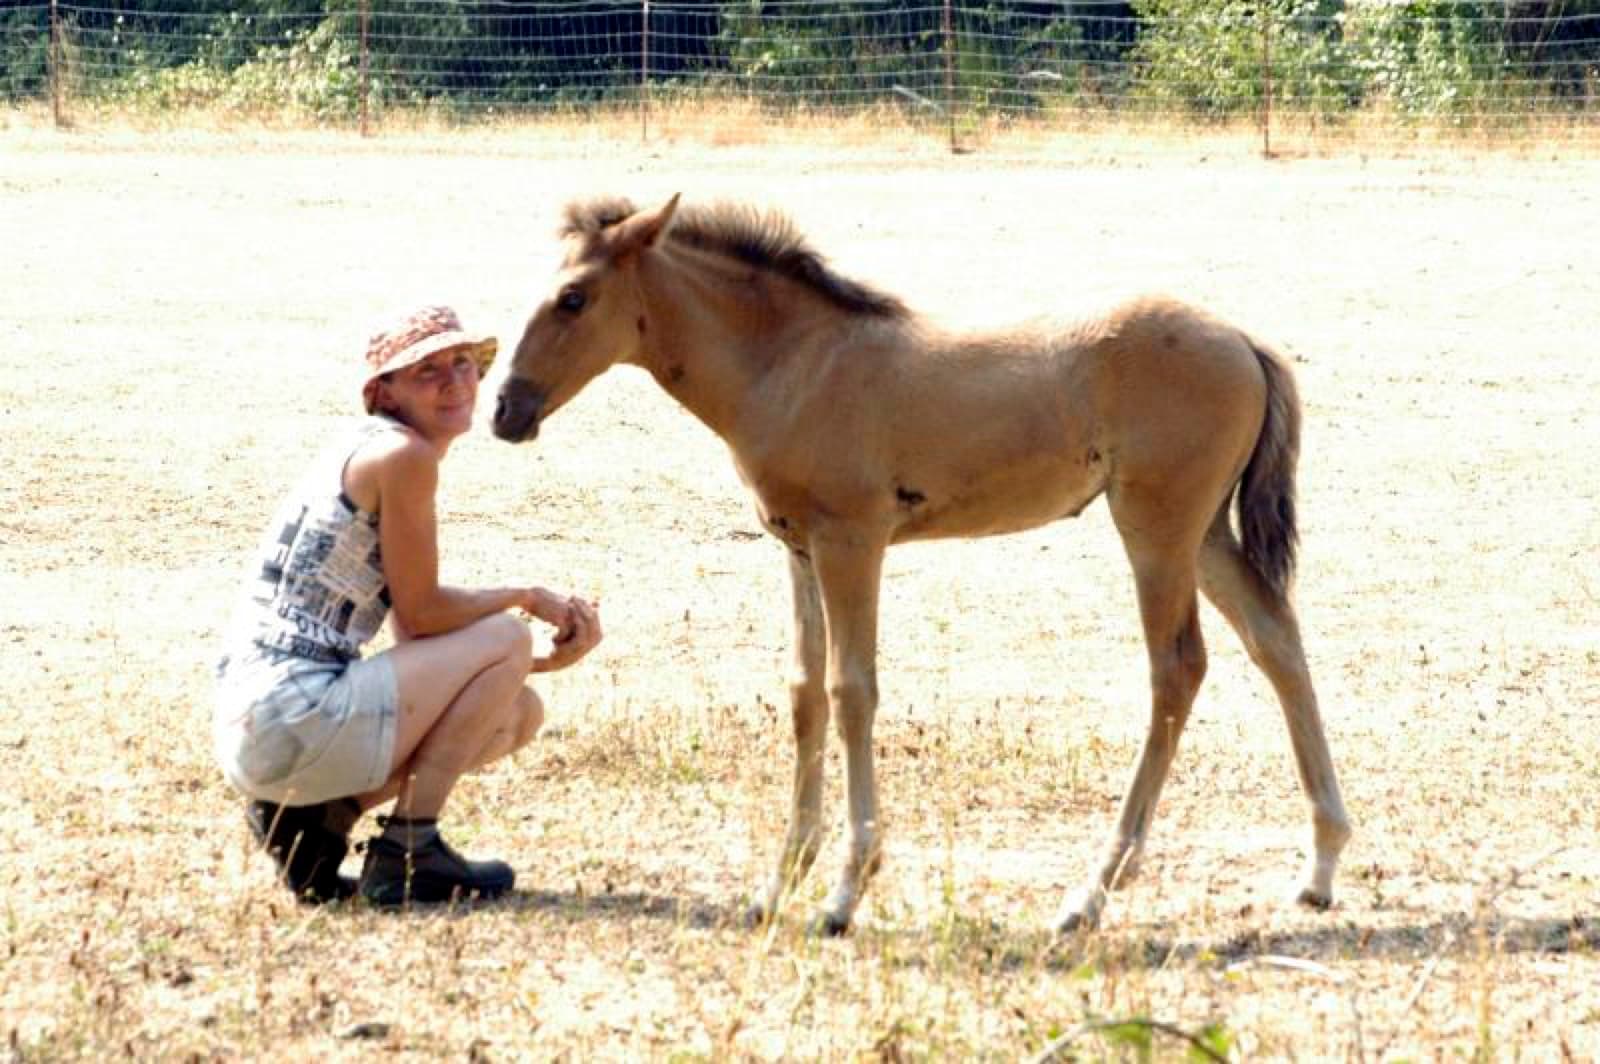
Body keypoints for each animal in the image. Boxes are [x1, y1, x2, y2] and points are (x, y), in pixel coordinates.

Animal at [491, 194, 1351, 935]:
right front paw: (777, 885)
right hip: (1203, 532)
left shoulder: (852, 542)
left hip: (1157, 527)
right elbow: (804, 695)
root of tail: (1245, 341)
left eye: (573, 298)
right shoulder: (798, 548)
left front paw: (842, 894)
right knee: (1277, 641)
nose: (505, 412)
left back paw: (1090, 895)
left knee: (1178, 669)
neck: (795, 364)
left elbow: (851, 692)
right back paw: (1319, 867)